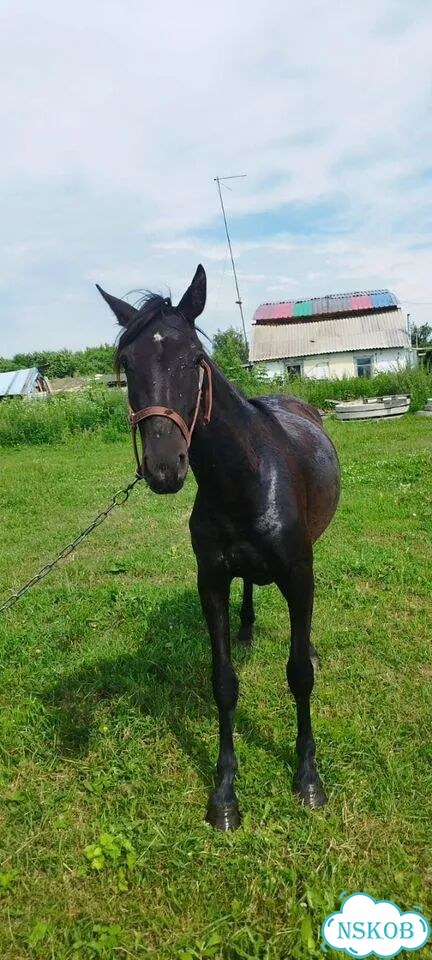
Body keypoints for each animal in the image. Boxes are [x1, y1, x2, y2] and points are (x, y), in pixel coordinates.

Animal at [97, 265, 340, 831]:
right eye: (126, 364)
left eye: (195, 359)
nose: (165, 467)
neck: (247, 477)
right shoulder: (210, 580)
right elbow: (223, 683)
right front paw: (225, 791)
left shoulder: (299, 574)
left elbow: (298, 675)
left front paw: (308, 778)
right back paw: (248, 631)